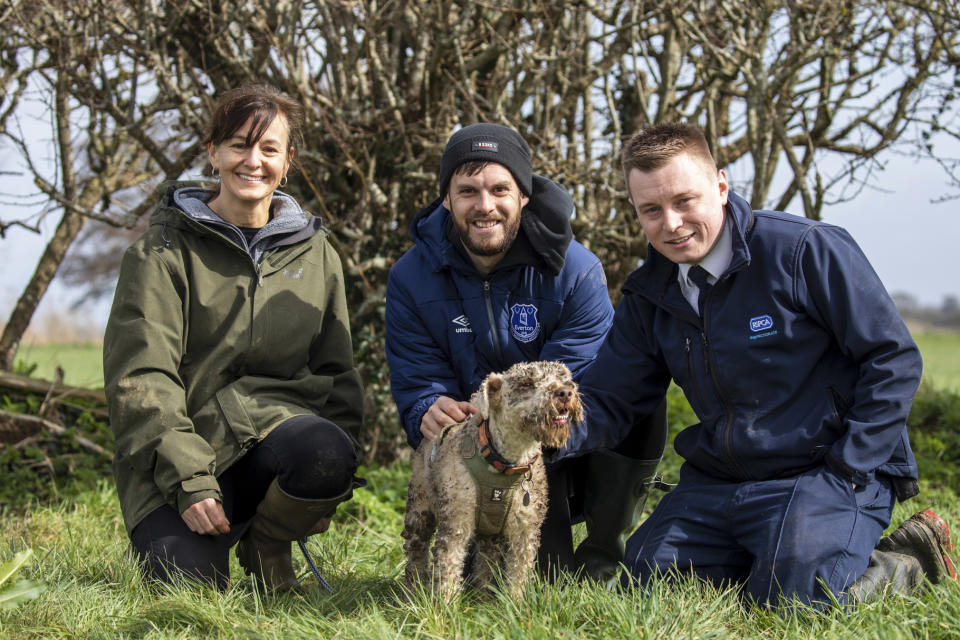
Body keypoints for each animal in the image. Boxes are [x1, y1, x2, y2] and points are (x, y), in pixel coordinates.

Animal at [400, 360, 580, 600]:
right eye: (526, 383)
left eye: (564, 378)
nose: (565, 392)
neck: (507, 463)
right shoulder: (456, 523)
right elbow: (448, 567)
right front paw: (446, 605)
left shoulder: (526, 529)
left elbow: (518, 572)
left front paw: (515, 602)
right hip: (419, 510)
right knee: (416, 550)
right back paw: (412, 591)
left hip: (489, 533)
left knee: (486, 560)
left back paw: (484, 596)